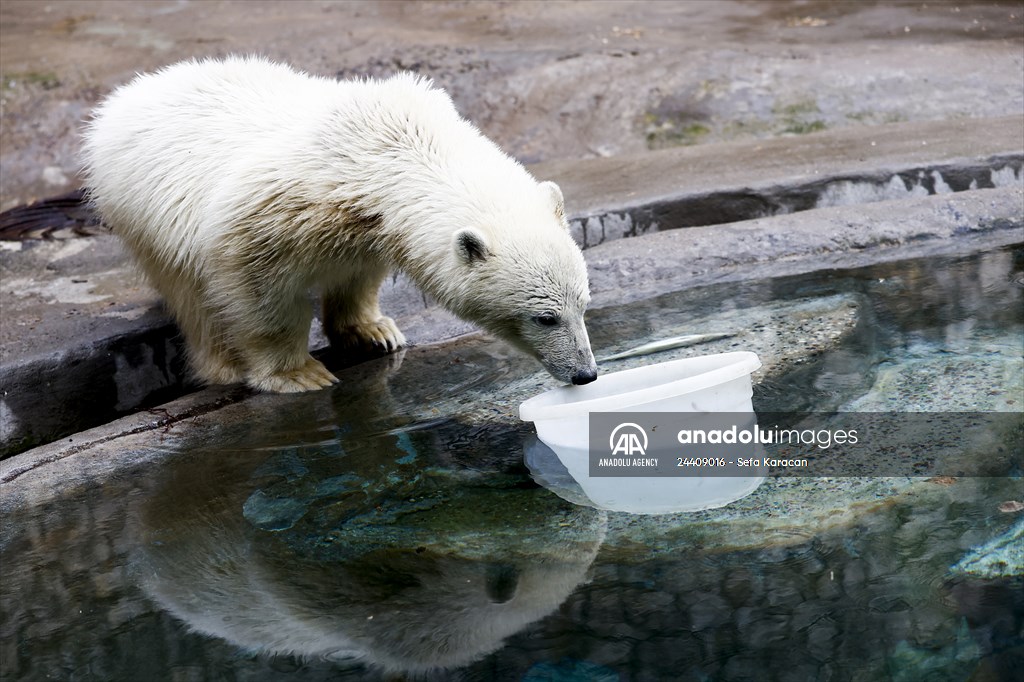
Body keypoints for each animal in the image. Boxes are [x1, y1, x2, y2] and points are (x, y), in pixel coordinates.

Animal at [82, 56, 597, 393]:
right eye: (544, 317)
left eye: (583, 304)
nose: (585, 373)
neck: (392, 148)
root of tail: (127, 96)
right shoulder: (271, 211)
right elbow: (253, 283)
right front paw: (296, 373)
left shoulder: (366, 224)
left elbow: (357, 270)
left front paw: (373, 332)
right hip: (146, 209)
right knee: (191, 294)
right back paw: (223, 364)